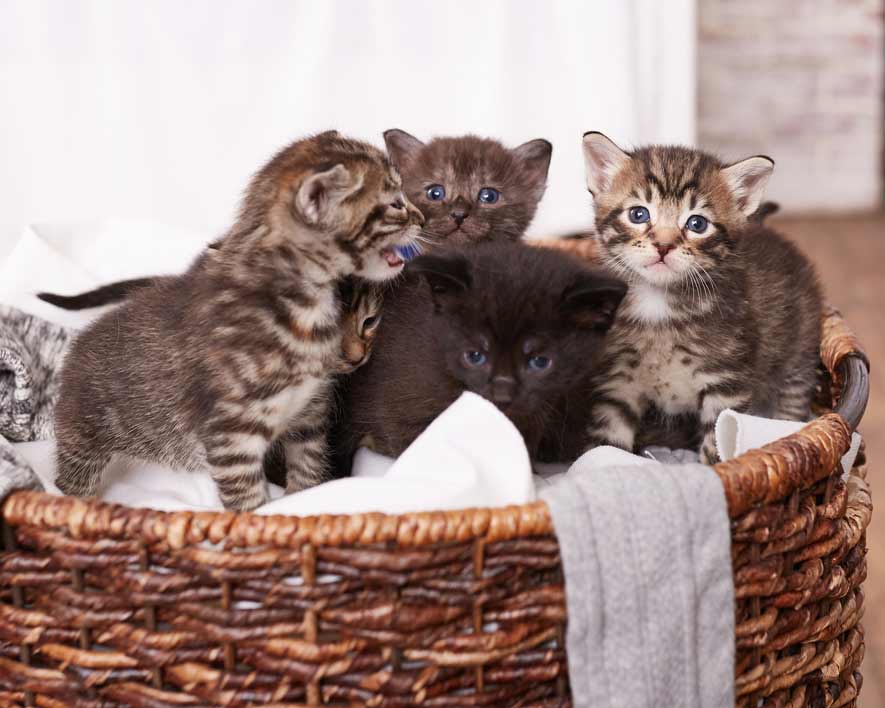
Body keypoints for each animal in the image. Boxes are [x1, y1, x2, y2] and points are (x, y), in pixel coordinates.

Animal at [53, 131, 424, 510]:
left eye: (369, 322)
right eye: (395, 203)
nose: (421, 217)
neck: (302, 310)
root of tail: (74, 350)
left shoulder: (310, 416)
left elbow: (308, 473)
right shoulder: (231, 434)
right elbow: (248, 500)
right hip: (84, 436)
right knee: (69, 479)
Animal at [579, 131, 822, 463]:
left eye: (697, 224)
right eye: (638, 214)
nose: (664, 246)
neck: (659, 303)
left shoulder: (726, 385)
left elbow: (717, 444)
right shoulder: (617, 382)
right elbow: (608, 443)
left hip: (799, 356)